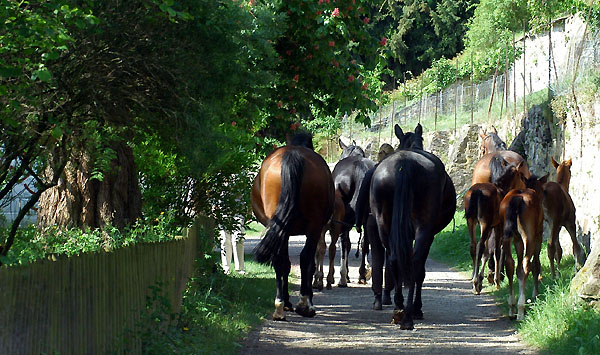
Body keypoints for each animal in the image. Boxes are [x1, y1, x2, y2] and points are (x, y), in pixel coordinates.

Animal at [251, 133, 336, 320]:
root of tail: (293, 155)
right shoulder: (315, 231)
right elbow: (309, 264)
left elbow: (286, 264)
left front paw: (287, 301)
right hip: (313, 227)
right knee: (305, 259)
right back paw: (304, 304)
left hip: (279, 226)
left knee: (279, 260)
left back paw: (279, 306)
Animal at [356, 124, 454, 330]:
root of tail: (405, 163)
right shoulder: (428, 234)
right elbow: (418, 271)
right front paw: (417, 308)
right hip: (424, 228)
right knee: (416, 264)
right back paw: (410, 314)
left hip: (384, 223)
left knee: (394, 259)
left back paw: (399, 307)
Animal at [496, 174, 548, 322]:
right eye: (543, 190)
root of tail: (517, 199)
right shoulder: (538, 235)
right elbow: (536, 264)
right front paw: (535, 294)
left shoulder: (517, 239)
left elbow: (517, 268)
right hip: (529, 236)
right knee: (526, 265)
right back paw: (520, 309)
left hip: (507, 236)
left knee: (510, 265)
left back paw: (512, 307)